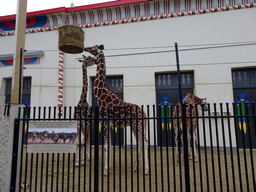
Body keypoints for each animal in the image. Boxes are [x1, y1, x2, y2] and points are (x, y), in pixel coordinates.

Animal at [83, 45, 149, 176]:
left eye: (93, 48)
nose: (85, 48)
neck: (101, 94)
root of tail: (144, 113)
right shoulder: (109, 124)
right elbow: (109, 145)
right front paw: (108, 167)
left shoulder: (105, 123)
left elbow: (106, 146)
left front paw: (105, 171)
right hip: (135, 126)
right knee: (139, 142)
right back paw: (135, 168)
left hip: (138, 125)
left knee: (145, 142)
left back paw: (146, 170)